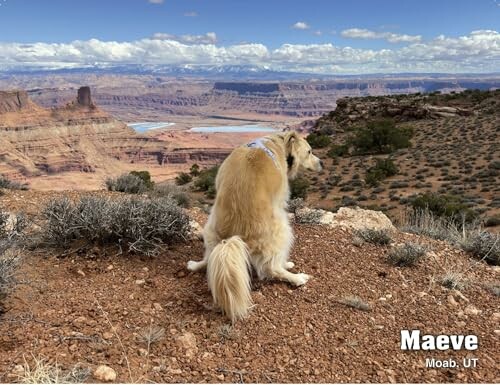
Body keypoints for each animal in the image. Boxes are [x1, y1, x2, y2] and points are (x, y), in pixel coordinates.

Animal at [188, 130, 324, 320]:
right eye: (310, 151)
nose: (322, 163)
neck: (279, 143)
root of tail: (233, 236)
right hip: (282, 229)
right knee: (271, 268)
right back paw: (295, 276)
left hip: (210, 227)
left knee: (208, 259)